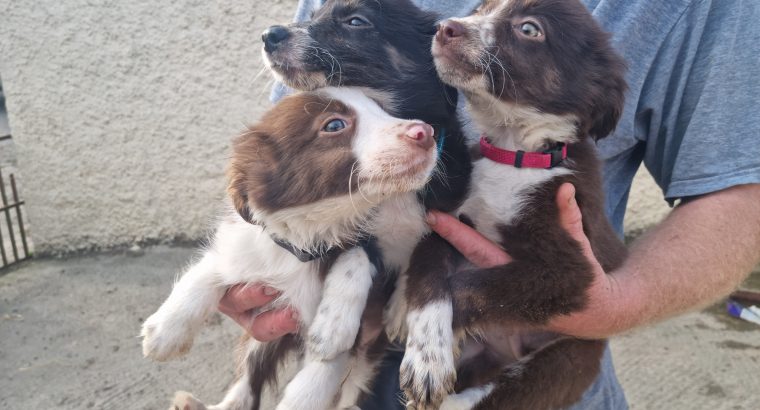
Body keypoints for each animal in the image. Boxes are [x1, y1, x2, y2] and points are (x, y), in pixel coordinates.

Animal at [142, 87, 440, 410]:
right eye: (335, 125)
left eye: (384, 111)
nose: (426, 132)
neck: (304, 237)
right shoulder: (246, 247)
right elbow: (206, 271)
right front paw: (165, 332)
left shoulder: (352, 331)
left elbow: (312, 385)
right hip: (262, 339)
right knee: (246, 383)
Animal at [400, 0, 628, 410]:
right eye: (481, 9)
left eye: (529, 29)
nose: (444, 28)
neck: (514, 155)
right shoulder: (446, 223)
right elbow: (430, 280)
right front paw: (427, 358)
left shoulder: (570, 272)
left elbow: (469, 286)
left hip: (567, 359)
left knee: (503, 395)